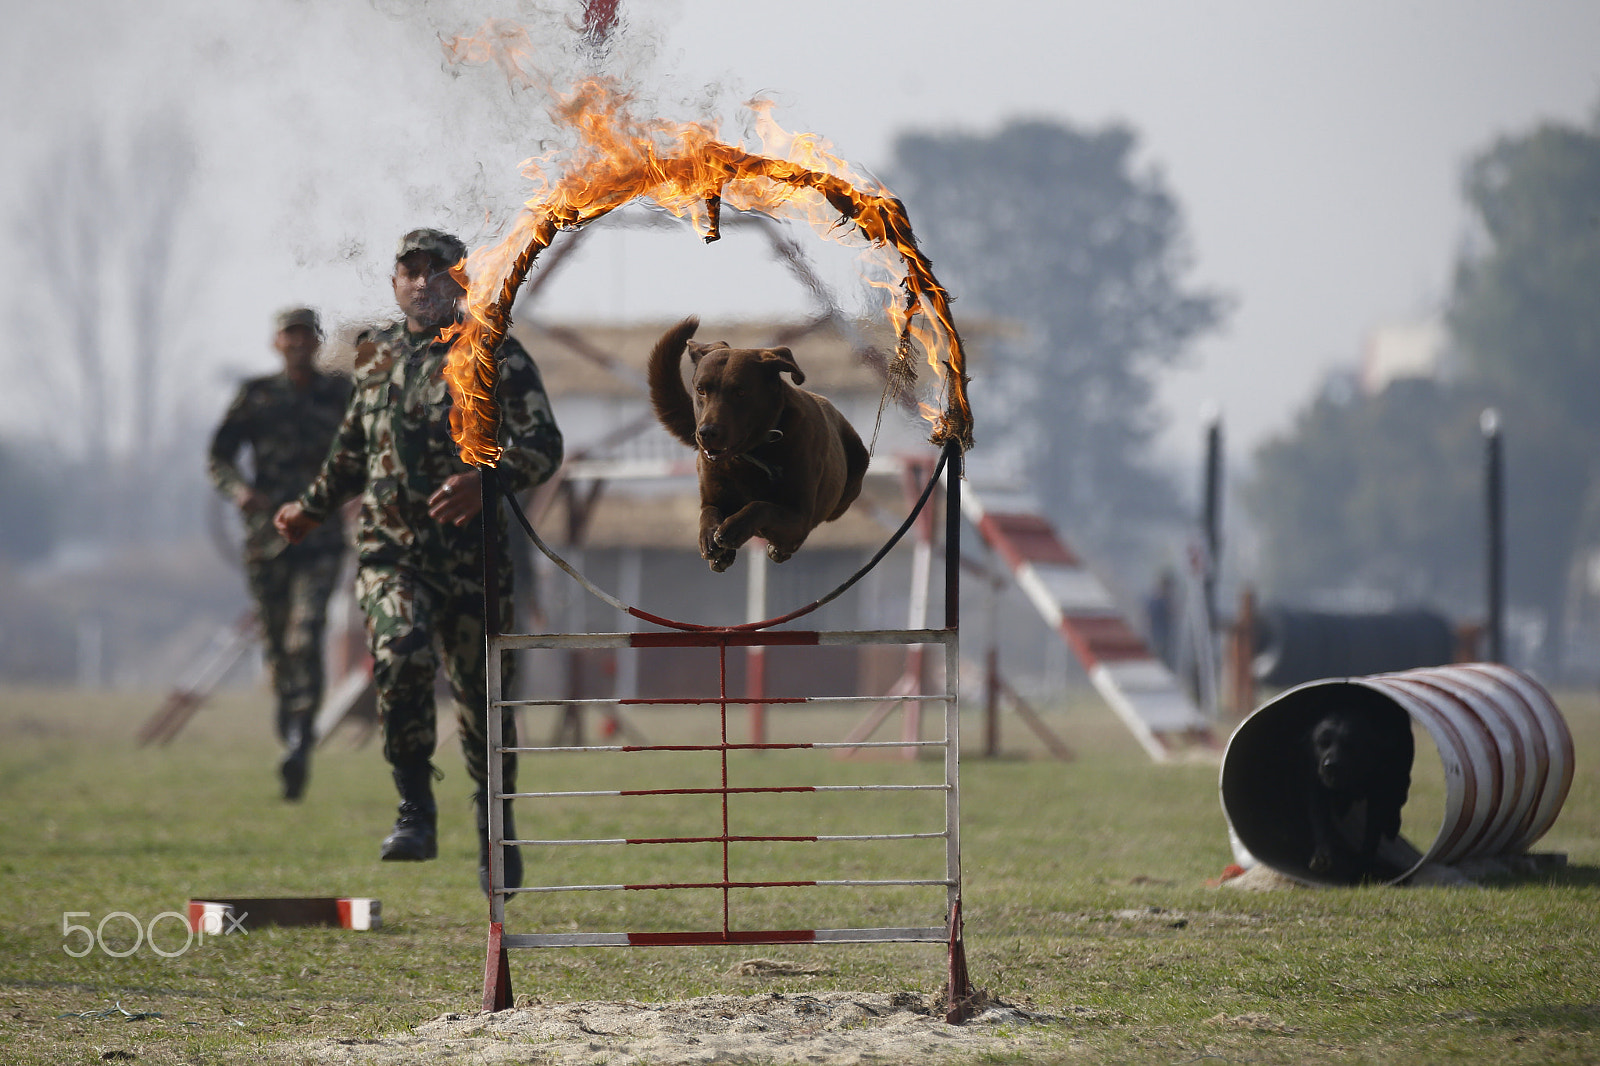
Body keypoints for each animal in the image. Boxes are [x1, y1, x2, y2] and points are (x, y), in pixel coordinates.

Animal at [646, 313, 870, 569]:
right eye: (701, 390)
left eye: (740, 392)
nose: (706, 432)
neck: (751, 456)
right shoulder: (711, 496)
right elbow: (708, 513)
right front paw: (710, 540)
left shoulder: (799, 517)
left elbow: (761, 506)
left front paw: (733, 528)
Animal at [1305, 704, 1420, 870]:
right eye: (1323, 742)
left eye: (1349, 745)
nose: (1330, 766)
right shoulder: (1316, 784)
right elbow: (1320, 820)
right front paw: (1322, 857)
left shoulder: (1380, 790)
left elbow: (1373, 829)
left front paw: (1364, 861)